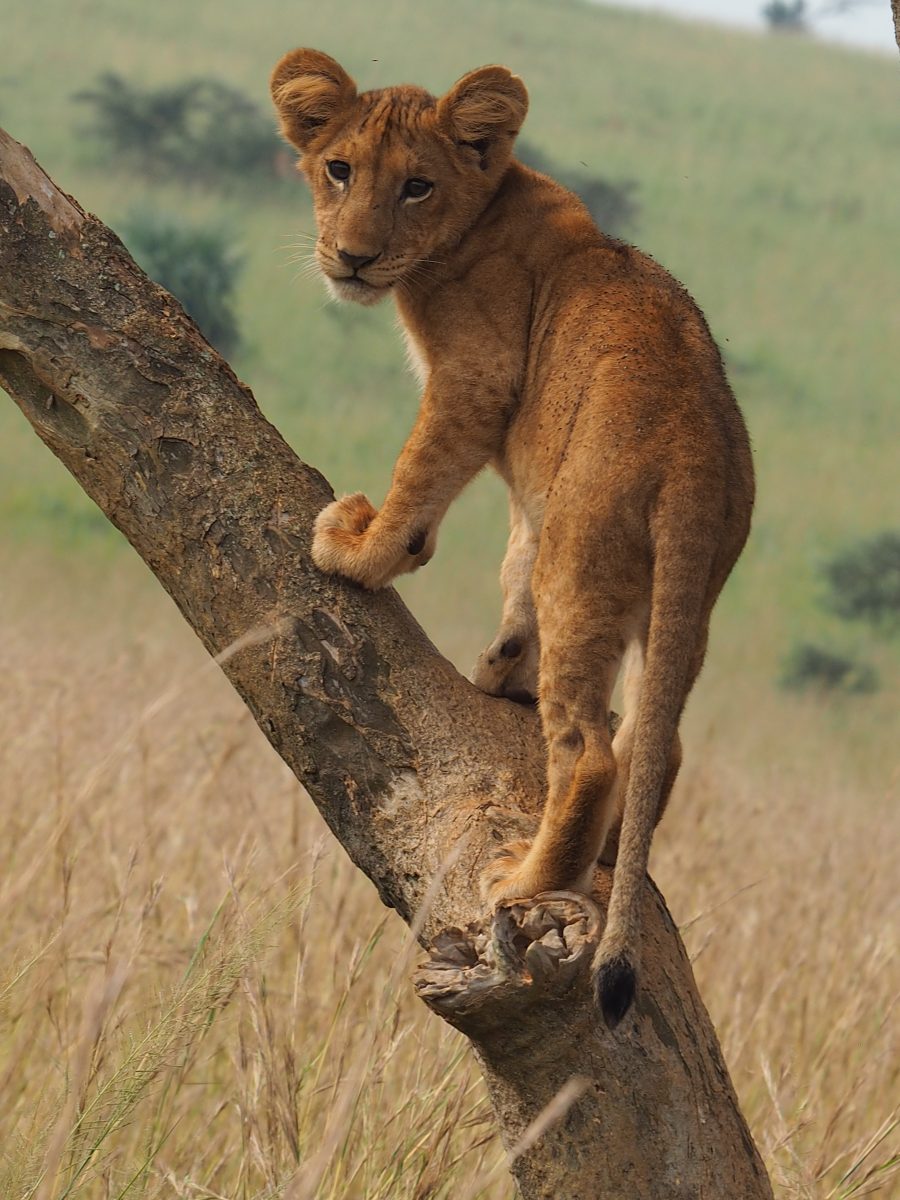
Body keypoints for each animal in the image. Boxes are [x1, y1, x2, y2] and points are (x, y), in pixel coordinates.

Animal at [270, 48, 754, 1027]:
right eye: (338, 169)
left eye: (415, 186)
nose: (353, 255)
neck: (480, 213)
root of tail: (695, 452)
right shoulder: (534, 473)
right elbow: (511, 557)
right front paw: (502, 667)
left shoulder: (477, 375)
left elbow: (422, 478)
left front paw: (362, 548)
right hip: (687, 591)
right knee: (660, 741)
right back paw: (603, 851)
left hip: (584, 551)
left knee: (590, 750)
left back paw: (526, 878)